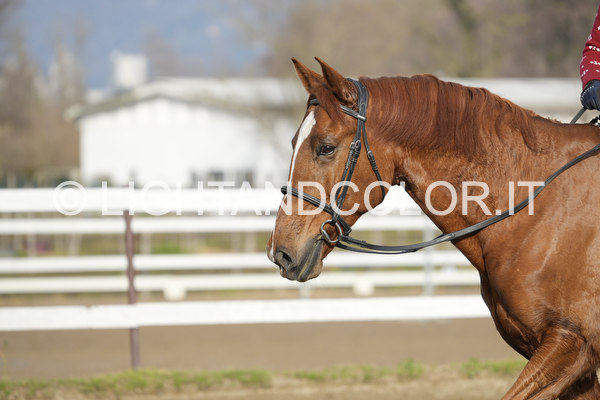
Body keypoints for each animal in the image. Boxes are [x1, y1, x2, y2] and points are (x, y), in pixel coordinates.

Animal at [266, 58, 600, 399]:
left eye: (326, 148)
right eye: (293, 143)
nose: (281, 253)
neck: (536, 208)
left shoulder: (570, 342)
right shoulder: (568, 360)